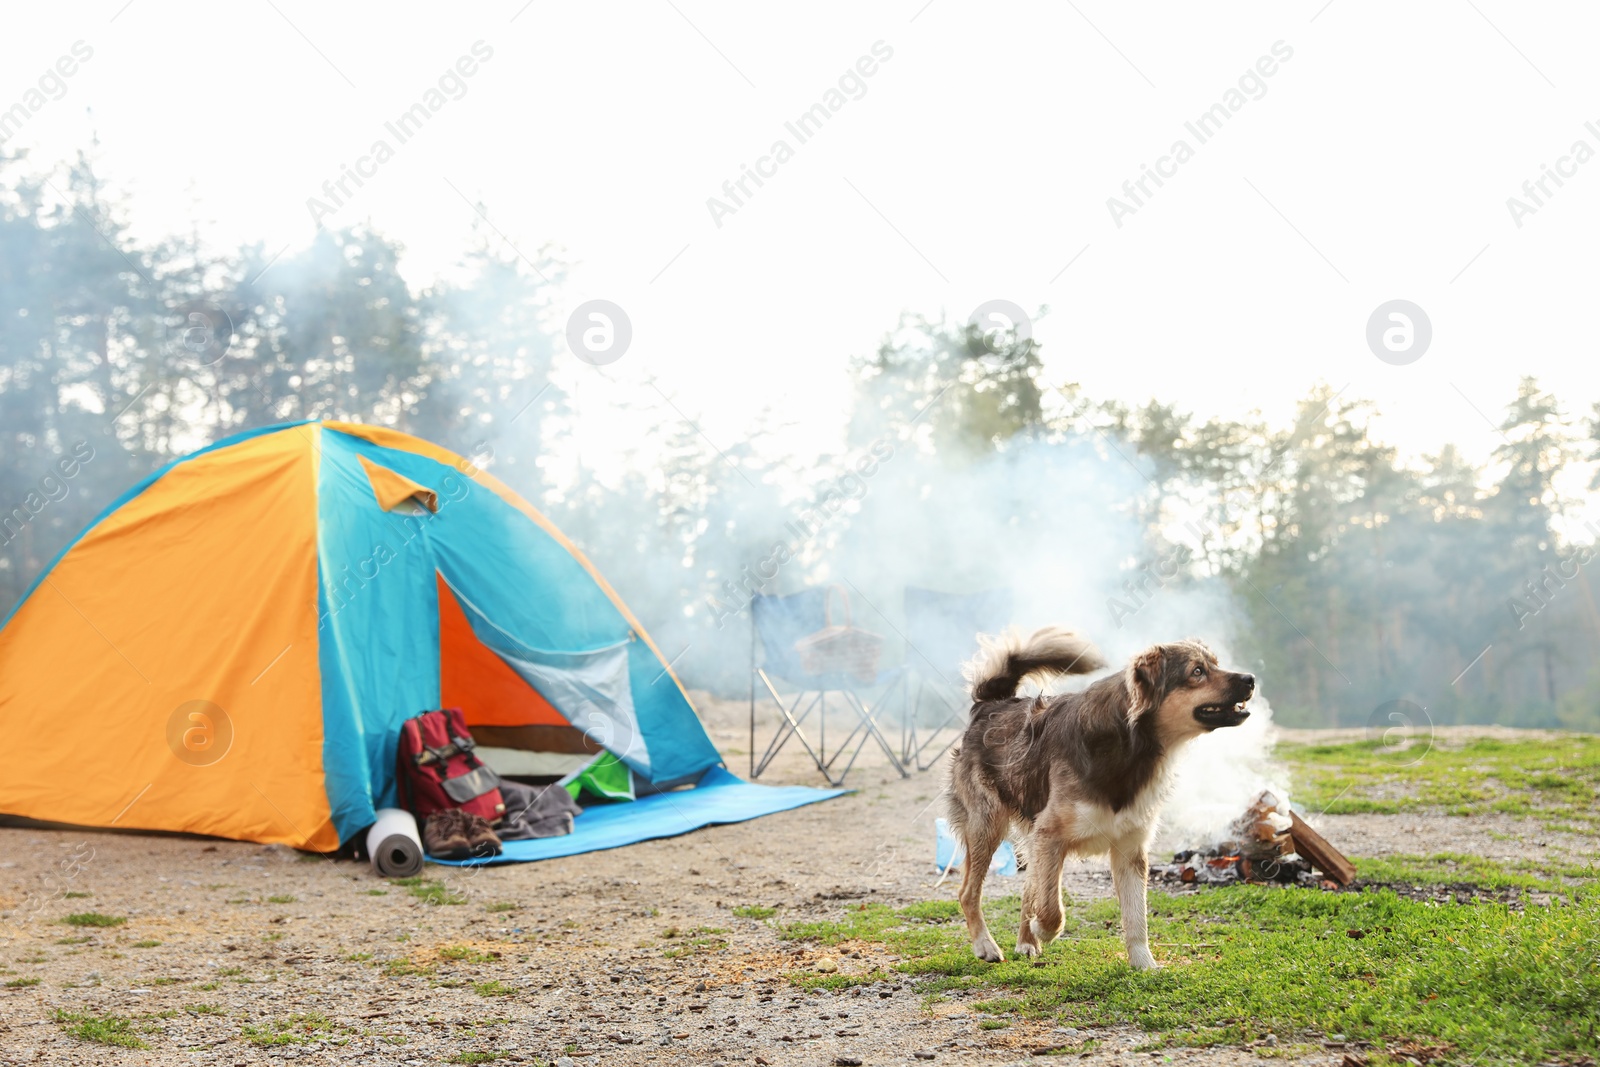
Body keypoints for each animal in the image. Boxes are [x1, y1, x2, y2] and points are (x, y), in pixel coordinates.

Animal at [947, 630, 1248, 972]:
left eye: (1215, 664)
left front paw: (1144, 964)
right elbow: (1051, 908)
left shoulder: (1130, 849)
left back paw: (1026, 941)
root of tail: (992, 704)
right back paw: (986, 945)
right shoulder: (1050, 835)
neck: (1130, 744)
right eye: (1197, 671)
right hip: (987, 826)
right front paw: (1043, 929)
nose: (1250, 679)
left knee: (1027, 888)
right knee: (968, 893)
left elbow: (1136, 917)